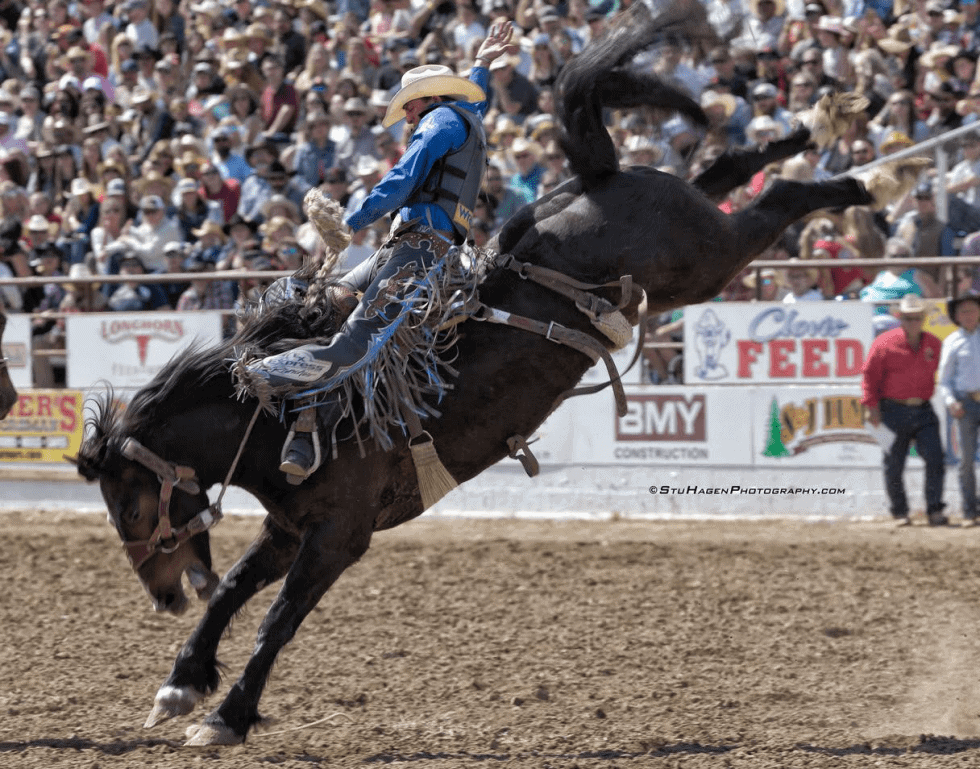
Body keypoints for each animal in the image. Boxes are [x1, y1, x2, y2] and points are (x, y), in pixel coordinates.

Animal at [74, 0, 904, 744]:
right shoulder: (288, 527)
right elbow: (233, 593)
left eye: (132, 505)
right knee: (729, 167)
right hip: (692, 230)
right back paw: (825, 127)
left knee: (778, 196)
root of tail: (591, 182)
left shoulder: (338, 535)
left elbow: (275, 620)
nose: (162, 596)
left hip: (707, 261)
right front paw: (181, 682)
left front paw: (227, 714)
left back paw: (865, 183)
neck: (280, 411)